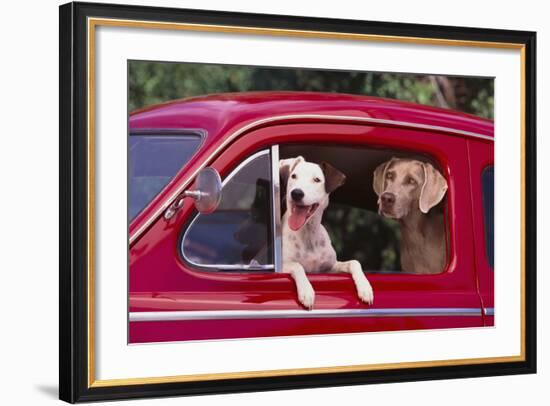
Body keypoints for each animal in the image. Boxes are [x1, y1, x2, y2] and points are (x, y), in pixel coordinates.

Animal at [280, 157, 376, 310]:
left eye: (317, 179)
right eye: (293, 176)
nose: (296, 193)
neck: (308, 233)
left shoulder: (329, 268)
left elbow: (354, 262)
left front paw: (365, 287)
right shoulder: (282, 266)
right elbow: (297, 265)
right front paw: (306, 291)